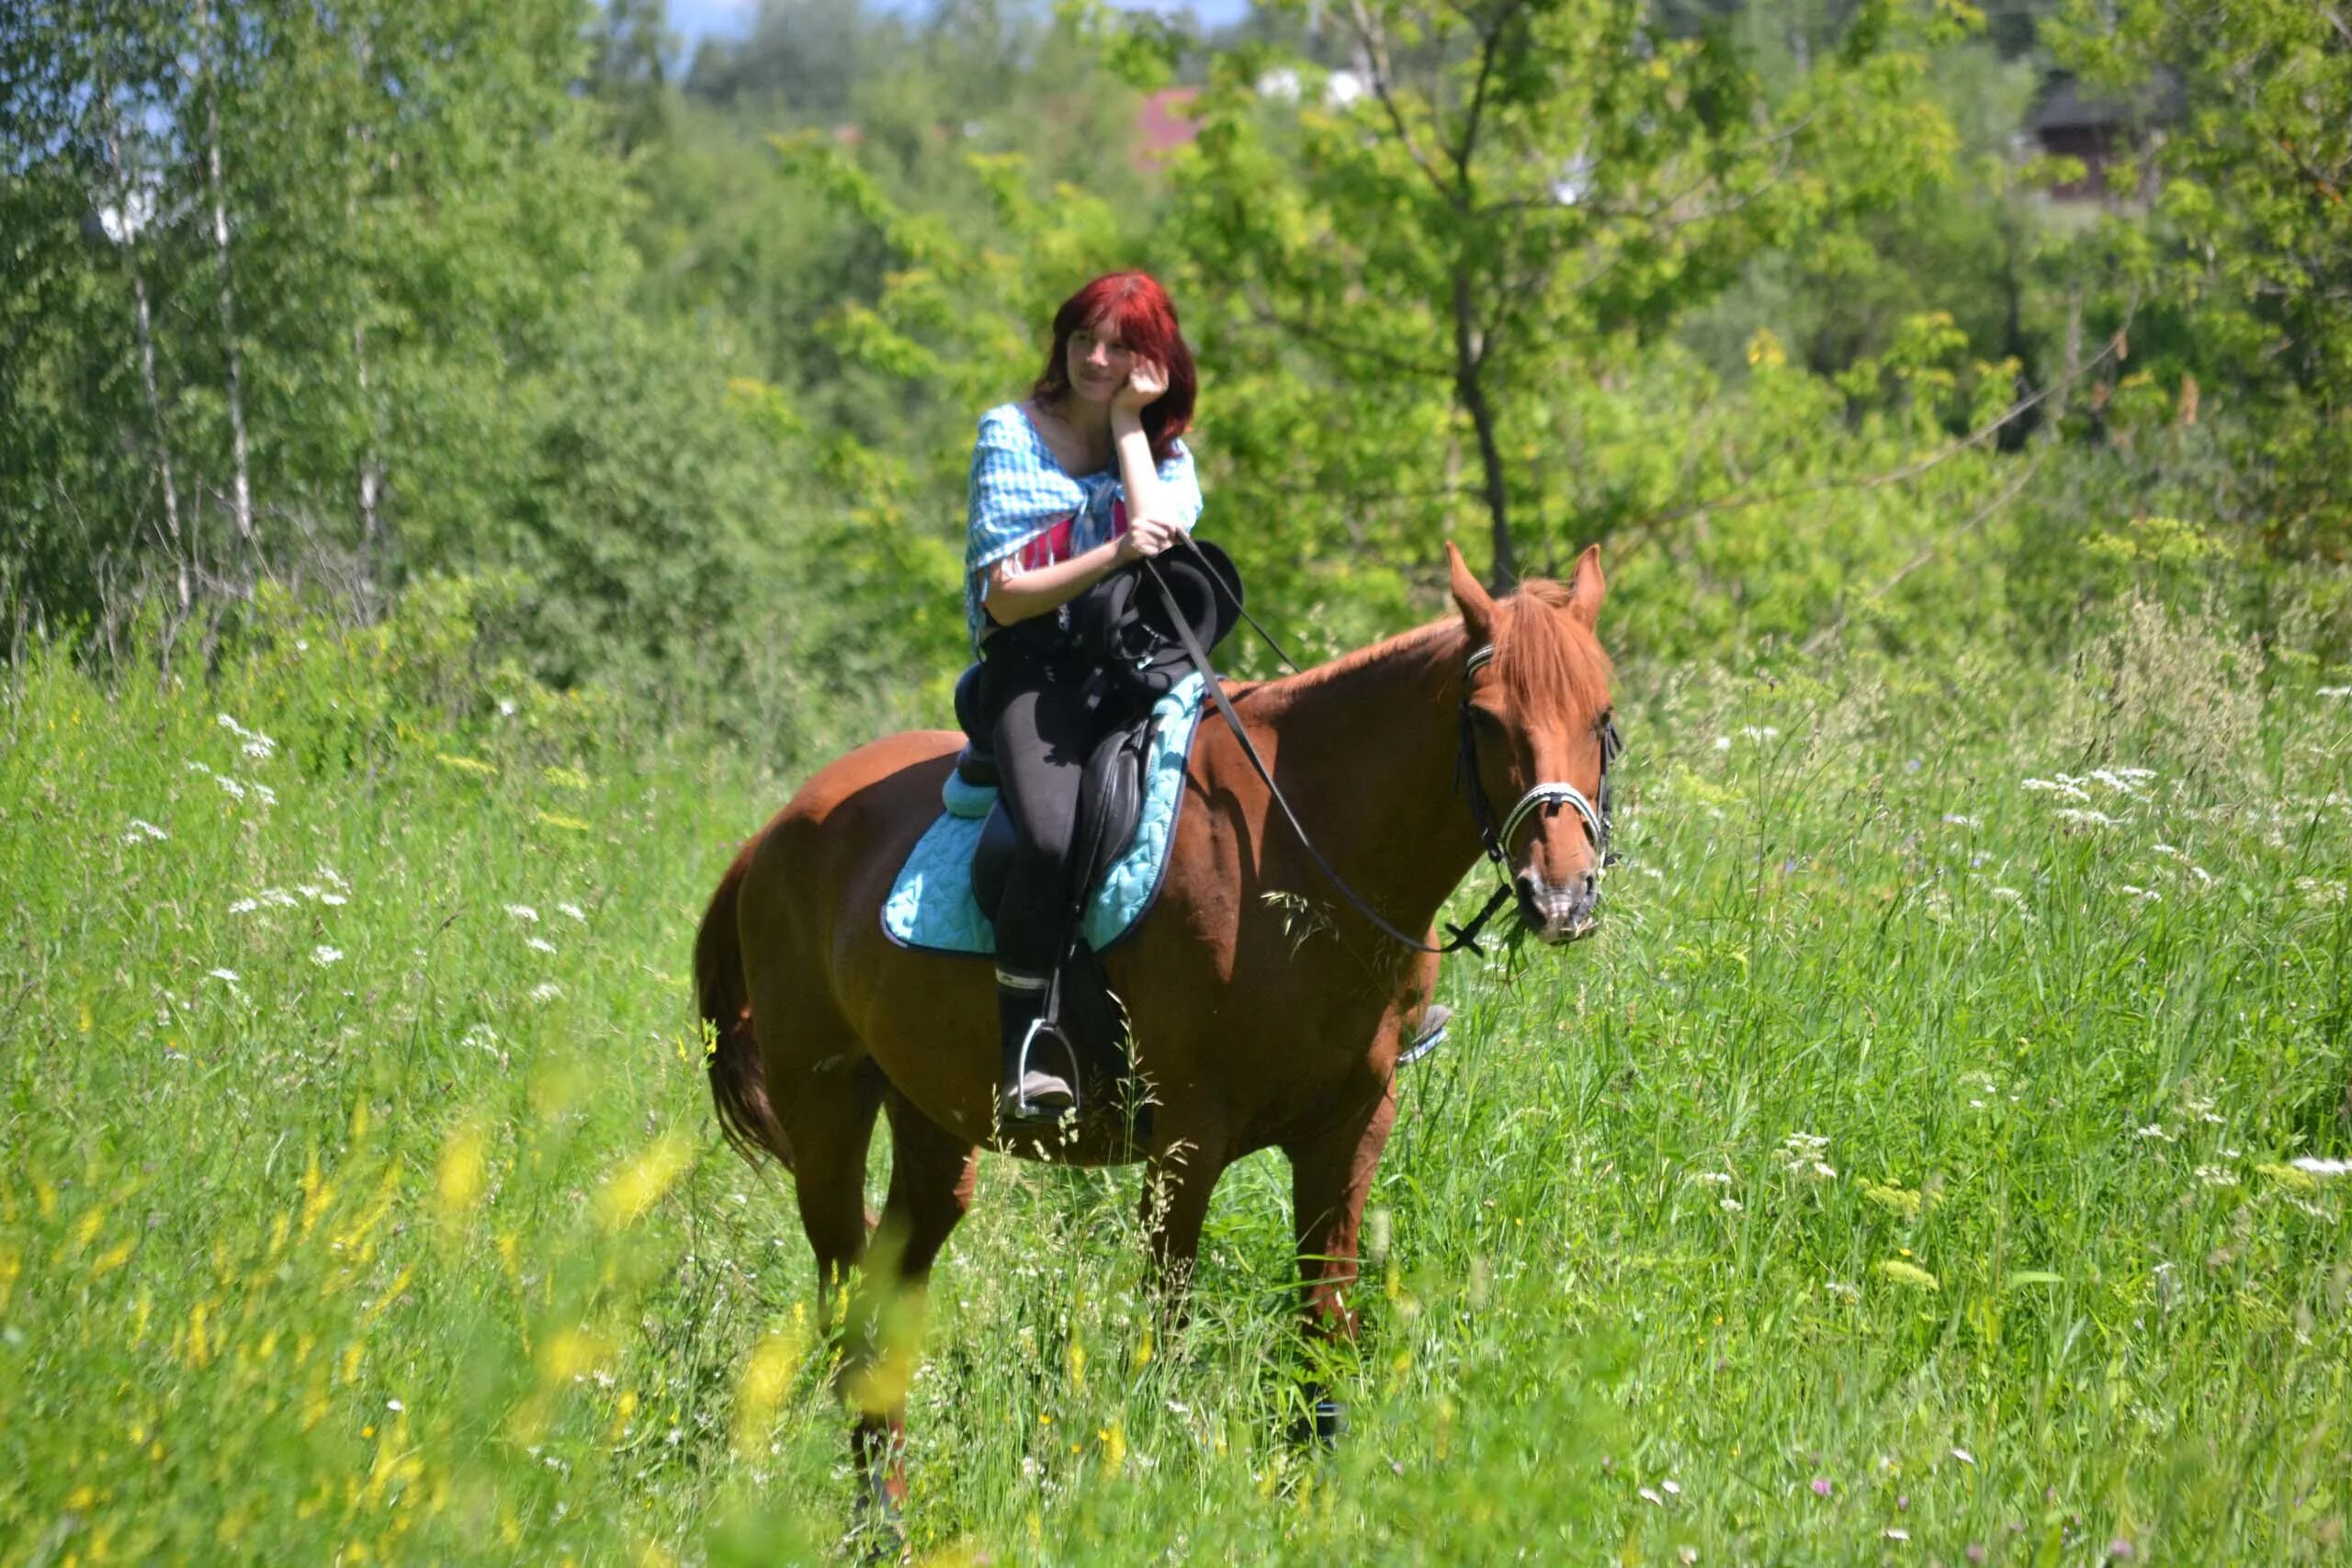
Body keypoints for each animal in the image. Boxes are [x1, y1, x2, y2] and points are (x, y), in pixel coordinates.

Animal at [691, 540, 1618, 1504]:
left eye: (1602, 716)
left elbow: (1322, 1320)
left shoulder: (1353, 1124)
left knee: (888, 1302)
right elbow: (1165, 1326)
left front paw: (1311, 1490)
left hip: (932, 1124)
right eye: (1485, 719)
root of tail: (775, 831)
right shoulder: (1187, 1137)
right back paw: (878, 1514)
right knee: (846, 1306)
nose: (1563, 893)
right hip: (826, 1106)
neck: (1299, 851)